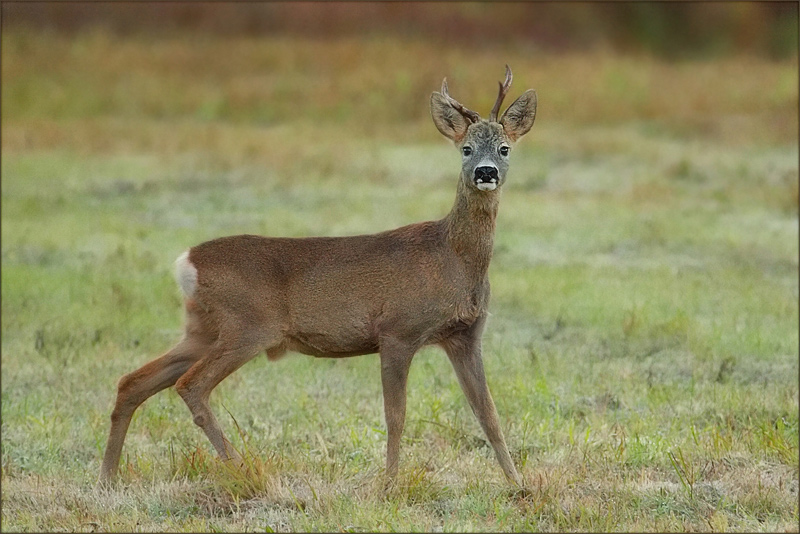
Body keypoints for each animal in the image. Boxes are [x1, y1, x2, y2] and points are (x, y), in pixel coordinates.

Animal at [98, 65, 536, 488]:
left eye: (504, 148)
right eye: (465, 148)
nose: (485, 172)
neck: (452, 258)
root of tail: (187, 262)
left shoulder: (466, 336)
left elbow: (489, 415)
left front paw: (519, 485)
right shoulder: (397, 330)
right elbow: (396, 417)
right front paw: (389, 486)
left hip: (202, 328)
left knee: (132, 381)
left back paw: (108, 478)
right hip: (248, 326)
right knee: (190, 384)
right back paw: (244, 469)